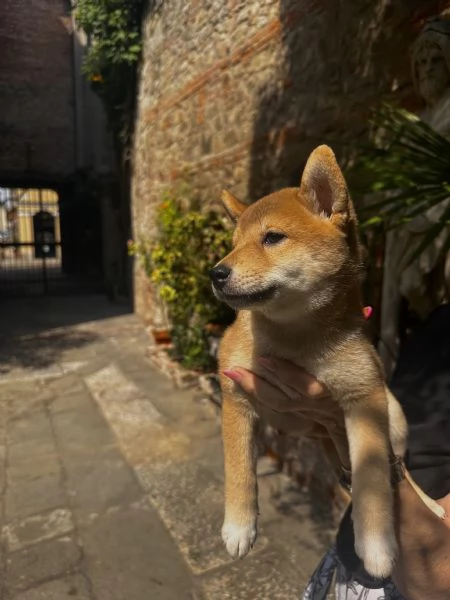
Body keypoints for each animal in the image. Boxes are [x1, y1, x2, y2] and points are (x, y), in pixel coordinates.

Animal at [210, 144, 442, 576]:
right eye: (232, 244)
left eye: (272, 238)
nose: (215, 273)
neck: (294, 338)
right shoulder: (235, 396)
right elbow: (239, 467)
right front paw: (238, 526)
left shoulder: (363, 399)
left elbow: (372, 478)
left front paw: (376, 544)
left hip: (394, 416)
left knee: (401, 472)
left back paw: (434, 508)